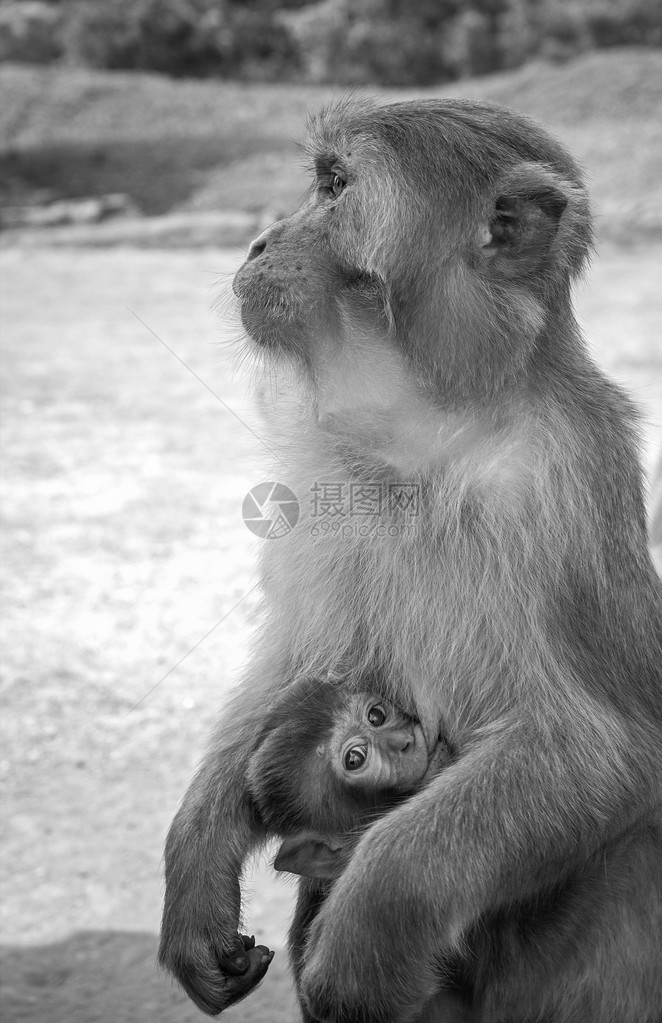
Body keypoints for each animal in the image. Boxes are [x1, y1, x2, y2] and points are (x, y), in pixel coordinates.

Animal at [160, 97, 662, 1023]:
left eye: (334, 187)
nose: (256, 242)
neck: (428, 432)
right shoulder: (322, 474)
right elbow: (301, 666)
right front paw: (198, 856)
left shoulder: (555, 490)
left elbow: (600, 751)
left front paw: (372, 919)